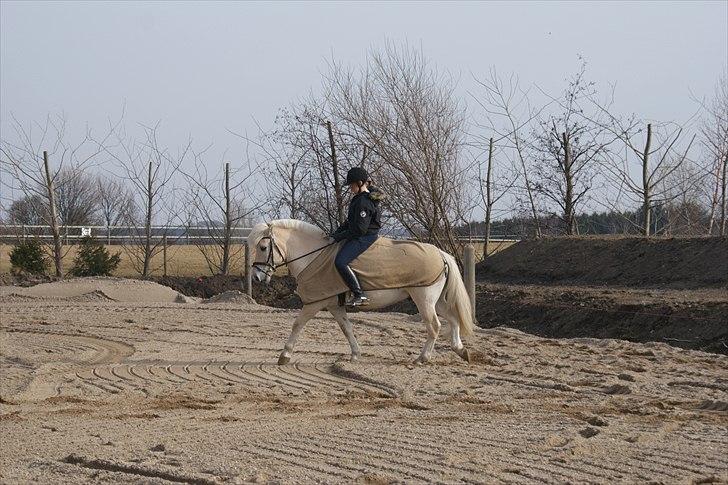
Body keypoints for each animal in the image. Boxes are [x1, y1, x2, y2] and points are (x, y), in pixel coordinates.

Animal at [249, 219, 478, 364]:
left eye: (262, 247)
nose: (257, 278)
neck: (314, 256)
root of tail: (440, 253)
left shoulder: (314, 303)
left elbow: (297, 324)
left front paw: (284, 355)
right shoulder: (334, 305)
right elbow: (346, 328)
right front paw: (355, 355)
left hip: (424, 299)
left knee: (435, 326)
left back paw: (423, 358)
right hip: (436, 301)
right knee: (453, 319)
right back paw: (461, 350)